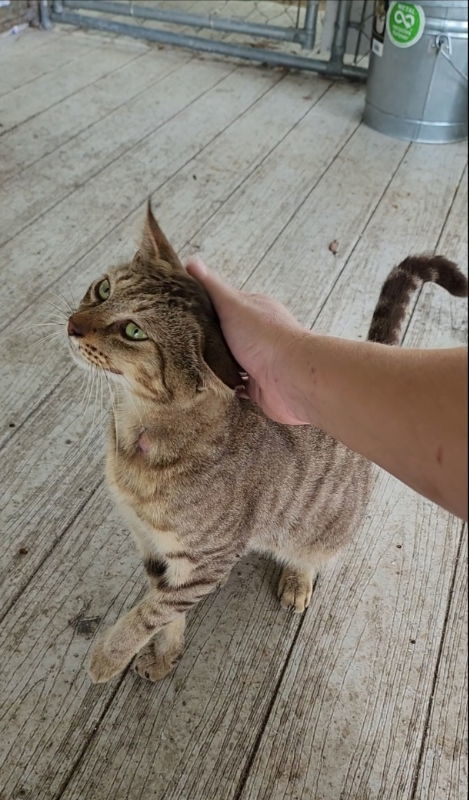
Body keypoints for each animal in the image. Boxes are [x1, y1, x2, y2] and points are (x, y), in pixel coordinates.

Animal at [66, 200, 468, 680]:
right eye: (103, 289)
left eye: (132, 331)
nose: (71, 325)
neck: (137, 435)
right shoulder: (151, 544)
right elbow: (163, 606)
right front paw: (165, 653)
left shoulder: (207, 560)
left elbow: (153, 610)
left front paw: (109, 655)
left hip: (322, 528)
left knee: (314, 555)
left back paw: (297, 578)